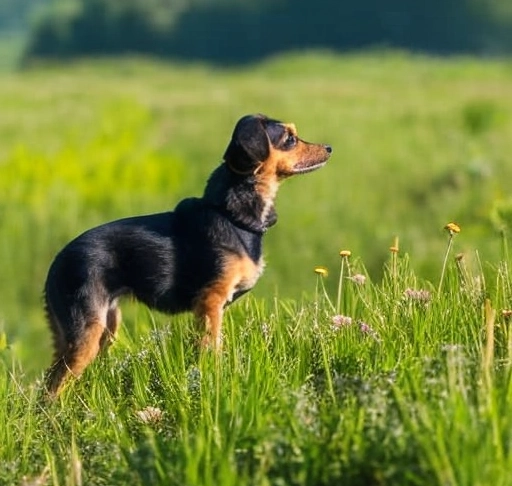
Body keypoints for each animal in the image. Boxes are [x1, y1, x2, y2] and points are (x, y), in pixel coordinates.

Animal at [43, 114, 332, 394]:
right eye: (290, 139)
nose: (329, 148)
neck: (230, 214)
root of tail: (56, 262)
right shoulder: (210, 301)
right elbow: (211, 348)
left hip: (103, 326)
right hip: (86, 332)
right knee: (53, 387)